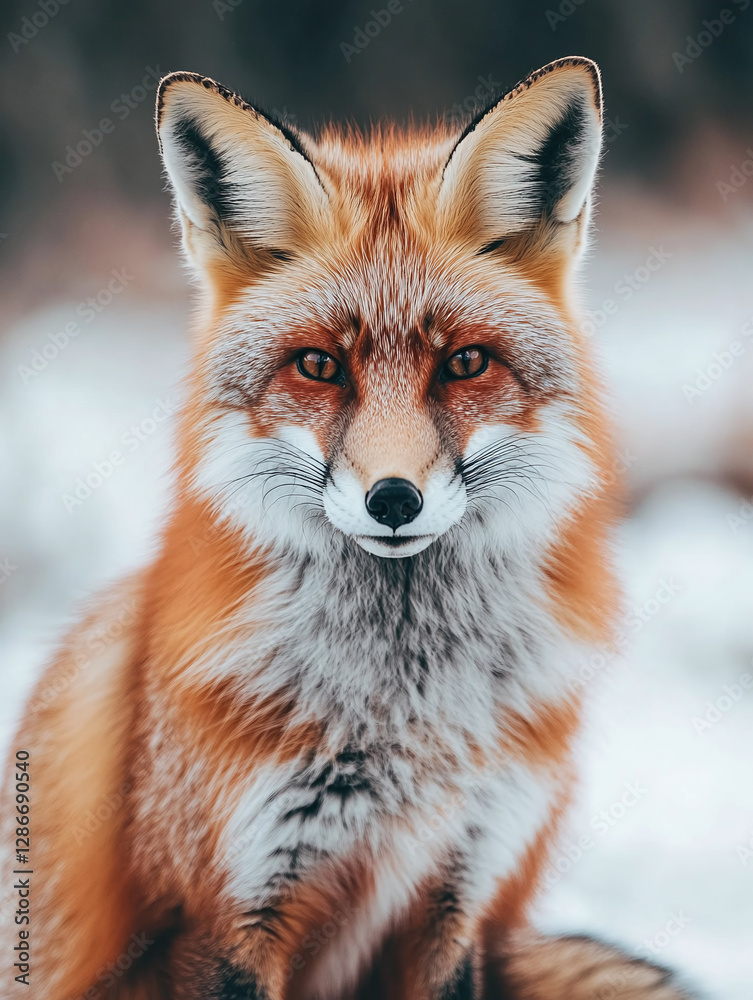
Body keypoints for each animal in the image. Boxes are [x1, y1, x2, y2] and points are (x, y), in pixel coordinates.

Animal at [0, 57, 697, 1000]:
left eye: (464, 363)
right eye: (319, 366)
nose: (392, 499)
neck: (403, 724)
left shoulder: (456, 895)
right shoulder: (224, 914)